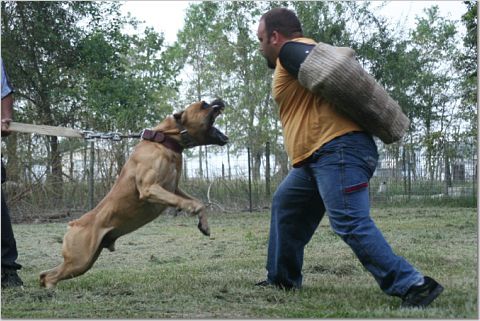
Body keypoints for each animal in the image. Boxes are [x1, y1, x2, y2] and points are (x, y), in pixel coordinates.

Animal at [39, 99, 227, 286]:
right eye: (204, 104)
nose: (219, 100)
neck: (164, 140)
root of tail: (74, 223)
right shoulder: (150, 188)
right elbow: (193, 203)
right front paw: (192, 210)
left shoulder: (173, 188)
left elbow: (199, 202)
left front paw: (204, 225)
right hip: (79, 261)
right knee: (50, 276)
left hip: (82, 263)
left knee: (45, 274)